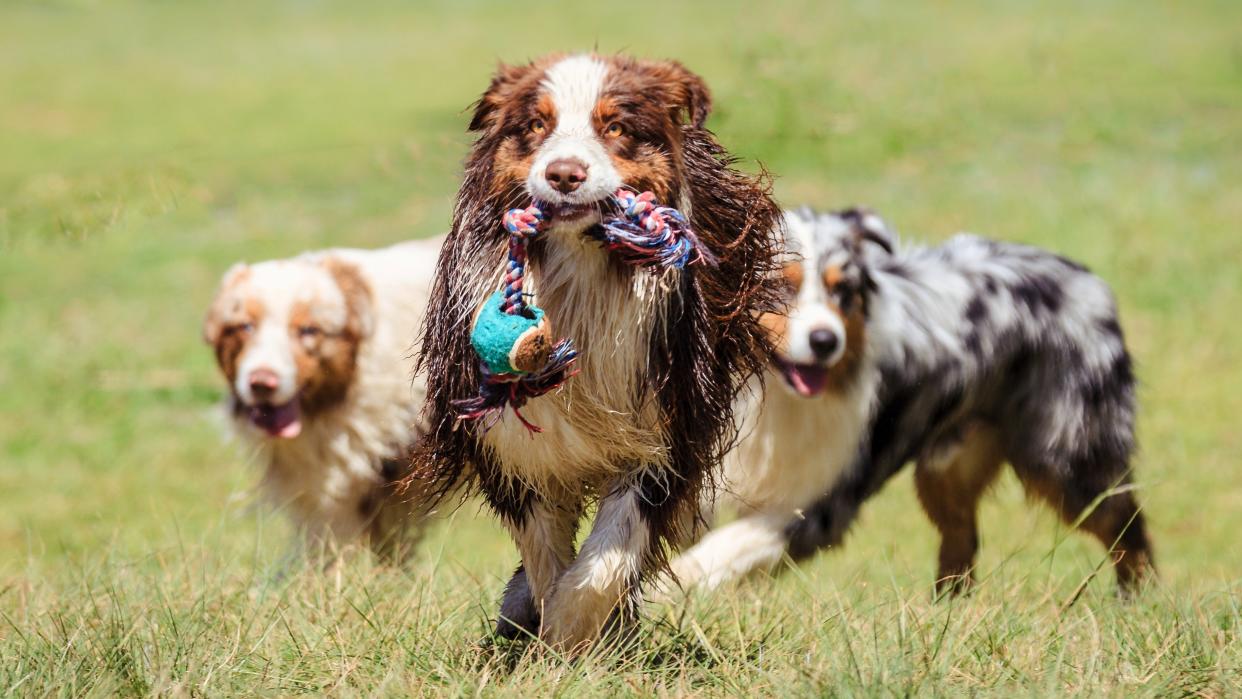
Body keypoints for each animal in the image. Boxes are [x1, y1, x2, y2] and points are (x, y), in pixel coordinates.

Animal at [422, 53, 779, 650]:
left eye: (615, 127)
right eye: (535, 124)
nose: (565, 173)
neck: (581, 276)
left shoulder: (667, 426)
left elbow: (612, 549)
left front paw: (573, 632)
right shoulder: (512, 439)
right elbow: (543, 547)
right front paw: (549, 628)